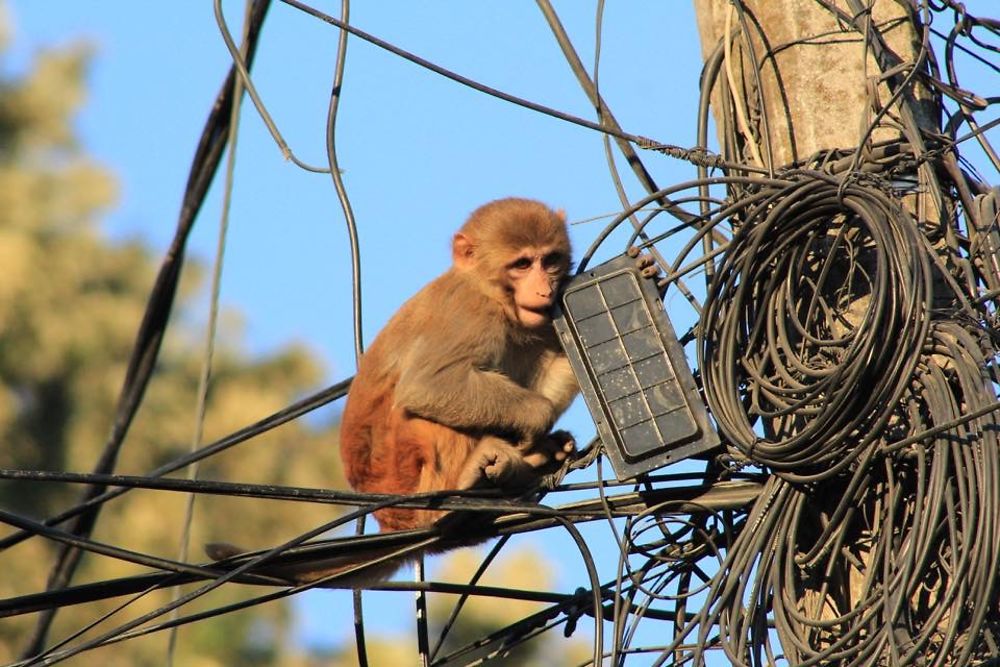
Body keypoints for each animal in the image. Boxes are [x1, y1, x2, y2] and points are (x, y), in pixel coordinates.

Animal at [207, 197, 580, 584]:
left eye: (549, 260)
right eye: (521, 264)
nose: (544, 288)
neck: (488, 292)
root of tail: (387, 518)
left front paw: (543, 444)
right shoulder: (468, 313)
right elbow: (426, 385)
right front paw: (538, 420)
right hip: (399, 465)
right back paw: (449, 501)